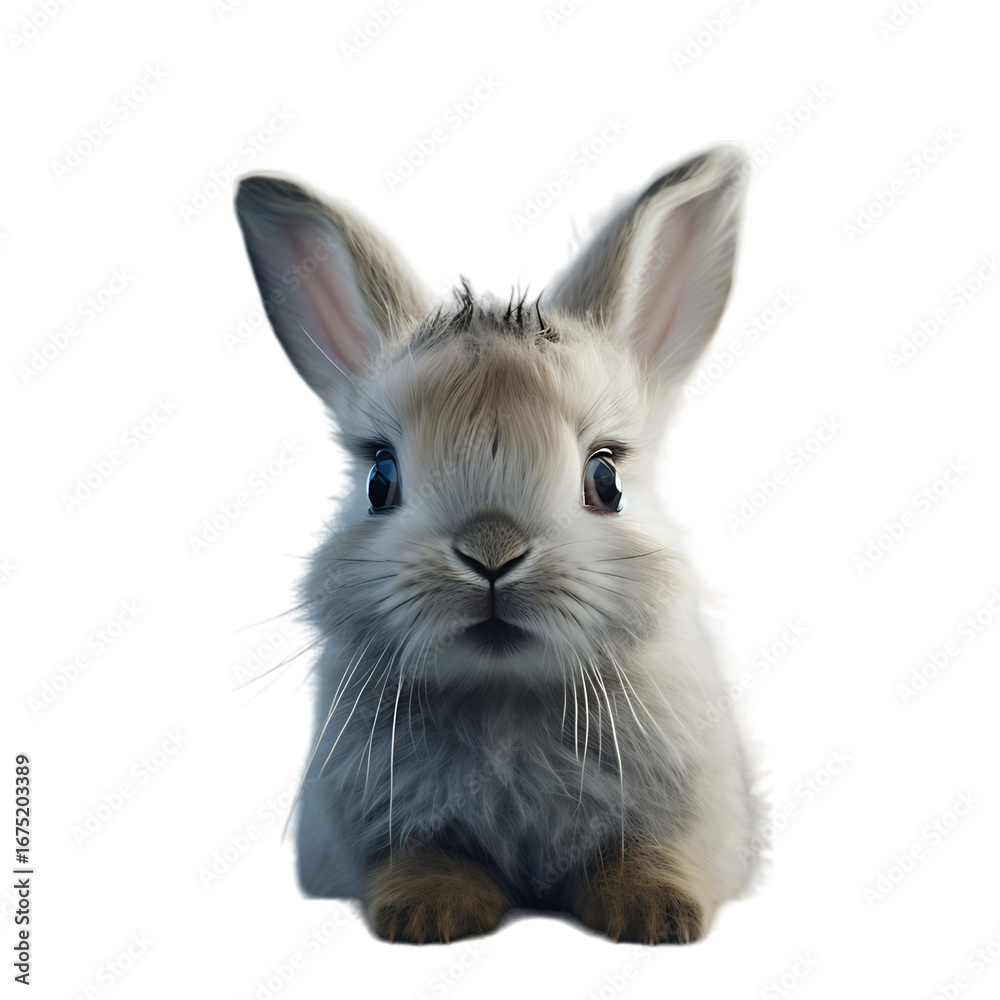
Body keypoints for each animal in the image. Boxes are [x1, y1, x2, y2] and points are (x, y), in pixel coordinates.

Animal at [233, 144, 762, 945]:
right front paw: (429, 915)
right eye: (380, 480)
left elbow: (645, 852)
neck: (503, 694)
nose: (491, 552)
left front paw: (658, 916)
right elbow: (421, 856)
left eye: (606, 478)